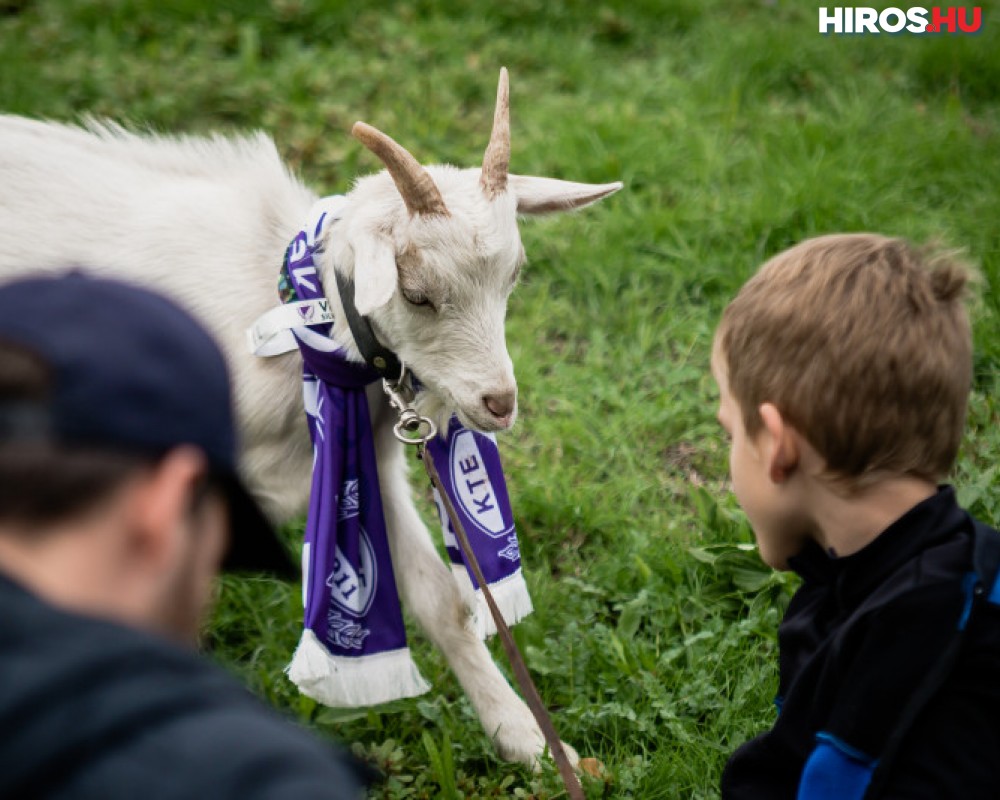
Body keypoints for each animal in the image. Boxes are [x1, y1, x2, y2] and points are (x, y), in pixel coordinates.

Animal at [0, 72, 620, 764]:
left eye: (512, 277)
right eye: (416, 294)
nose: (500, 403)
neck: (293, 319)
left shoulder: (367, 458)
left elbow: (440, 598)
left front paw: (528, 741)